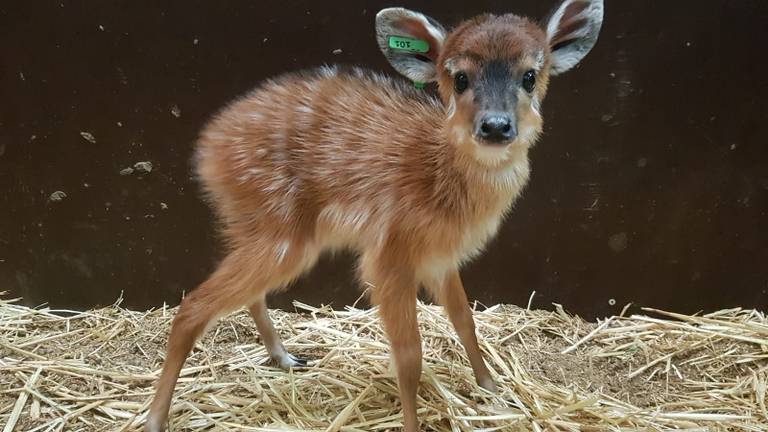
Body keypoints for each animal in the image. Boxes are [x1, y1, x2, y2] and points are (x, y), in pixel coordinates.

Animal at [146, 1, 608, 430]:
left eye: (529, 75)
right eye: (460, 78)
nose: (495, 126)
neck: (440, 179)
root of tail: (207, 149)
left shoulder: (441, 258)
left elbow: (465, 320)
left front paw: (491, 388)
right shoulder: (389, 255)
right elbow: (409, 356)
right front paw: (415, 422)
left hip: (258, 230)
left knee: (245, 295)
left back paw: (286, 358)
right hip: (282, 234)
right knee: (193, 306)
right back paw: (154, 419)